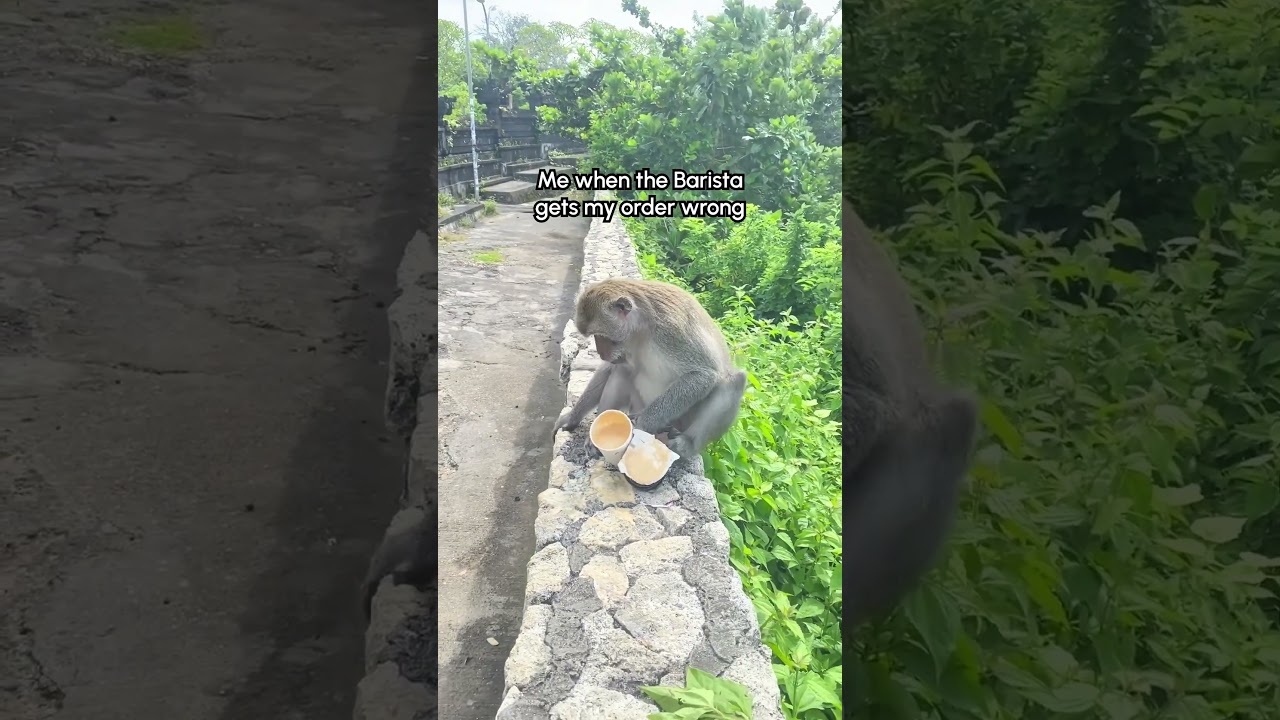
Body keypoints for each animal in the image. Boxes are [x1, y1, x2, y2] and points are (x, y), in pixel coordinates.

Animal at [552, 278, 747, 462]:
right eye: (595, 337)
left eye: (602, 336)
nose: (601, 353)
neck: (643, 327)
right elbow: (611, 367)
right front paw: (572, 417)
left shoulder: (671, 330)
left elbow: (703, 374)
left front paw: (640, 424)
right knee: (623, 372)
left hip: (680, 421)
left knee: (734, 381)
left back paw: (687, 444)